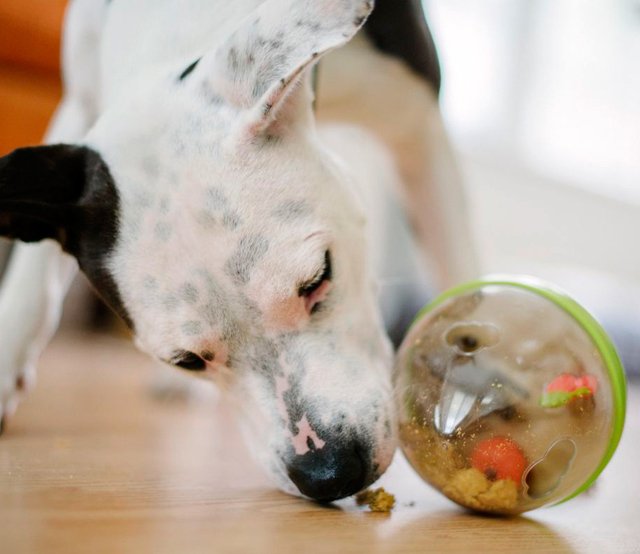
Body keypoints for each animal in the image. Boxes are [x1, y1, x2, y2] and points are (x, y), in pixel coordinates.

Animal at [0, 0, 476, 500]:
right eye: (186, 360)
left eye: (319, 278)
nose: (331, 471)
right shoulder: (80, 113)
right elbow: (32, 275)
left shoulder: (419, 127)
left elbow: (459, 268)